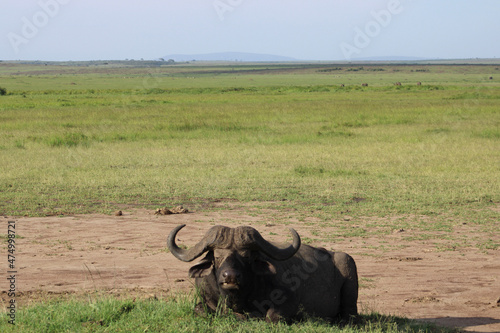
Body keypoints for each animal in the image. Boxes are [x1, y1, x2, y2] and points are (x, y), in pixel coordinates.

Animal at [168, 223, 360, 322]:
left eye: (246, 256)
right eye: (217, 255)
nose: (230, 276)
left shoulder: (289, 301)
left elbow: (270, 315)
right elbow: (199, 309)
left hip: (349, 265)